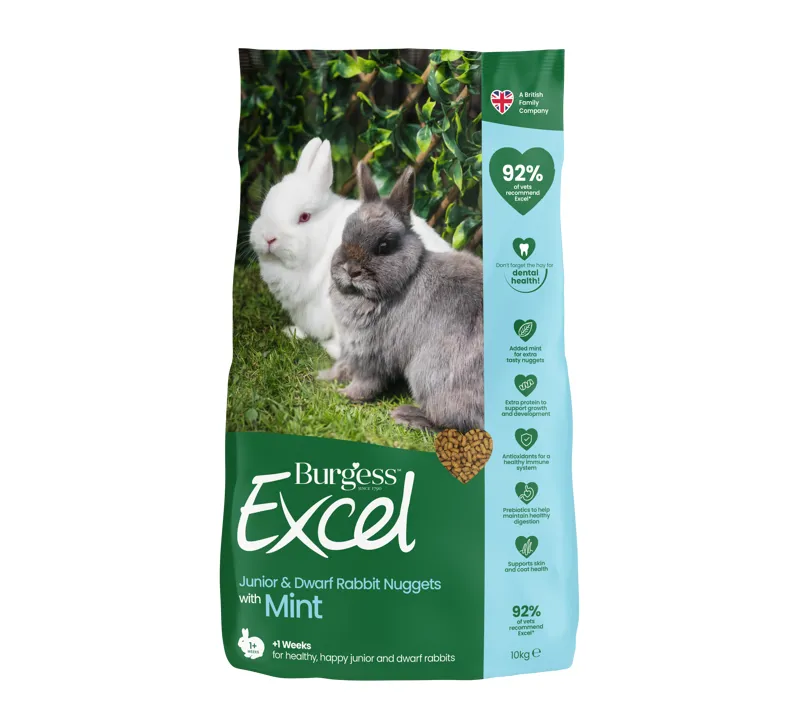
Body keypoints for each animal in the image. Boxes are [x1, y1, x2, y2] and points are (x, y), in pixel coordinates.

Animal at [323, 162, 484, 432]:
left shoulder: (372, 354)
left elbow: (366, 382)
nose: (351, 270)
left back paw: (407, 415)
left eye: (384, 246)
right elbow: (344, 365)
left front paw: (346, 394)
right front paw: (328, 376)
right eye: (344, 237)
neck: (405, 279)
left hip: (430, 374)